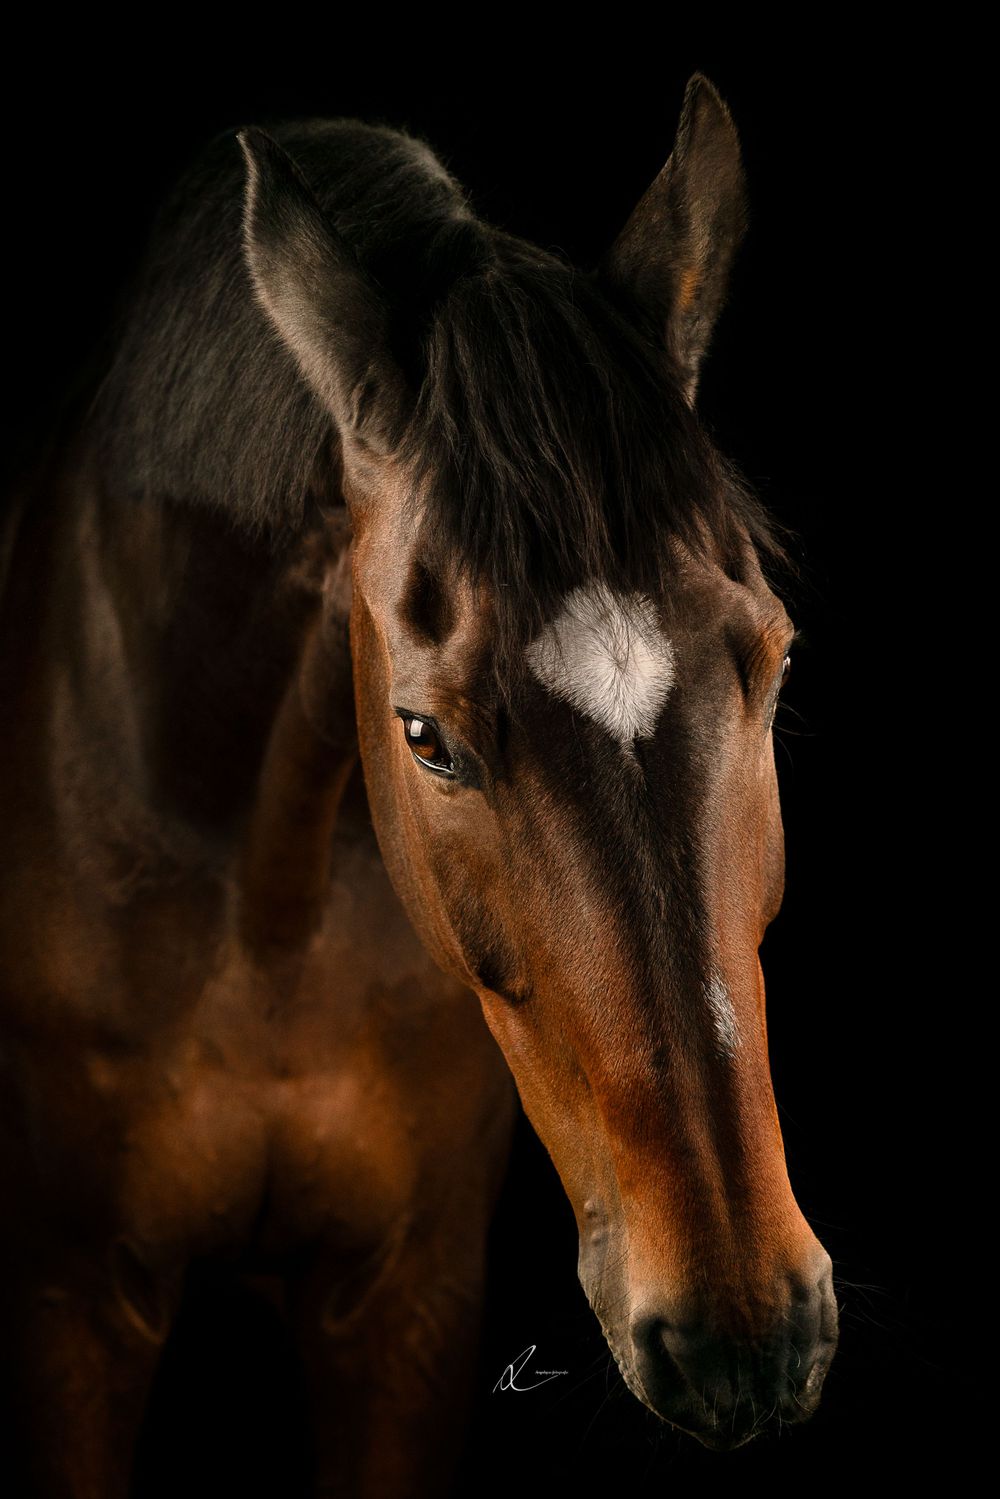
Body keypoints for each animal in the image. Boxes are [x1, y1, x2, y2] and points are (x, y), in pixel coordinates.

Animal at [0, 72, 838, 1497]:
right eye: (425, 735)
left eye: (774, 663)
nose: (741, 1335)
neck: (267, 916)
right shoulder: (68, 1307)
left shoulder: (407, 1306)